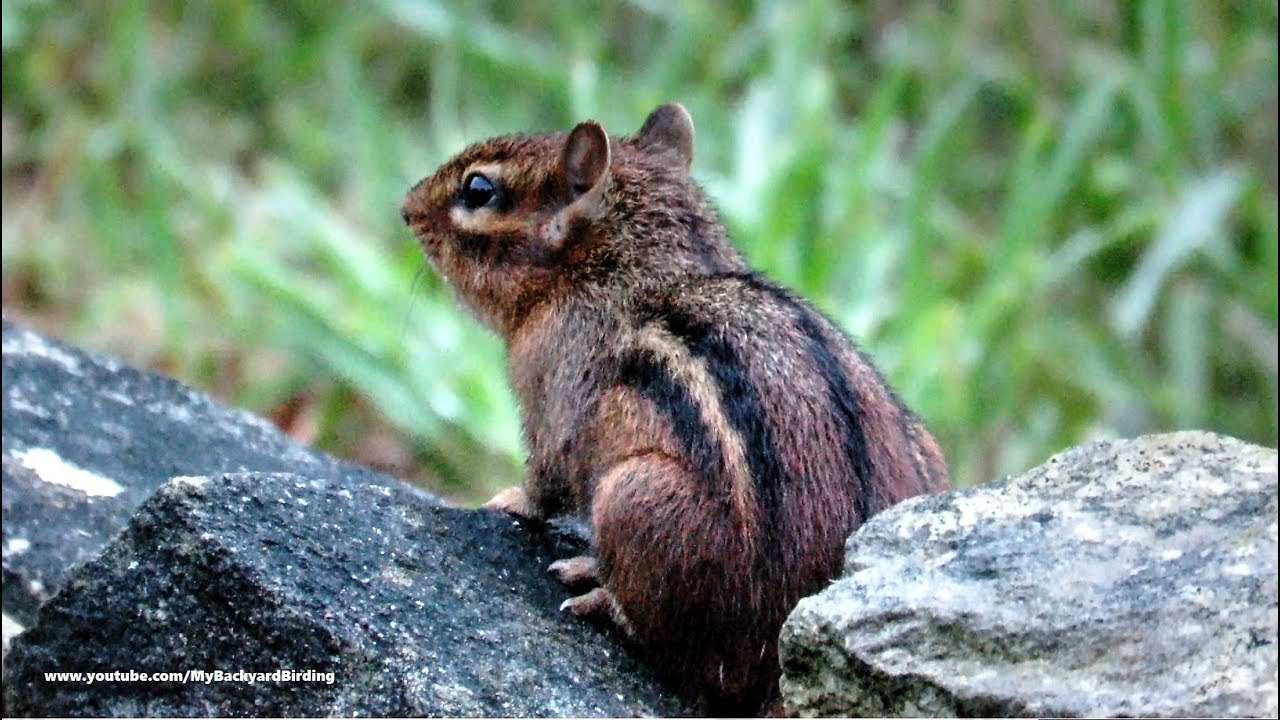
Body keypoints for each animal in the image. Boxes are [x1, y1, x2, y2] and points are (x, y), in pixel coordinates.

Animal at [401, 103, 950, 715]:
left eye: (478, 189)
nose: (406, 209)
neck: (629, 268)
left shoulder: (554, 391)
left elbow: (545, 480)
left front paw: (504, 501)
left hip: (634, 494)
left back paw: (599, 589)